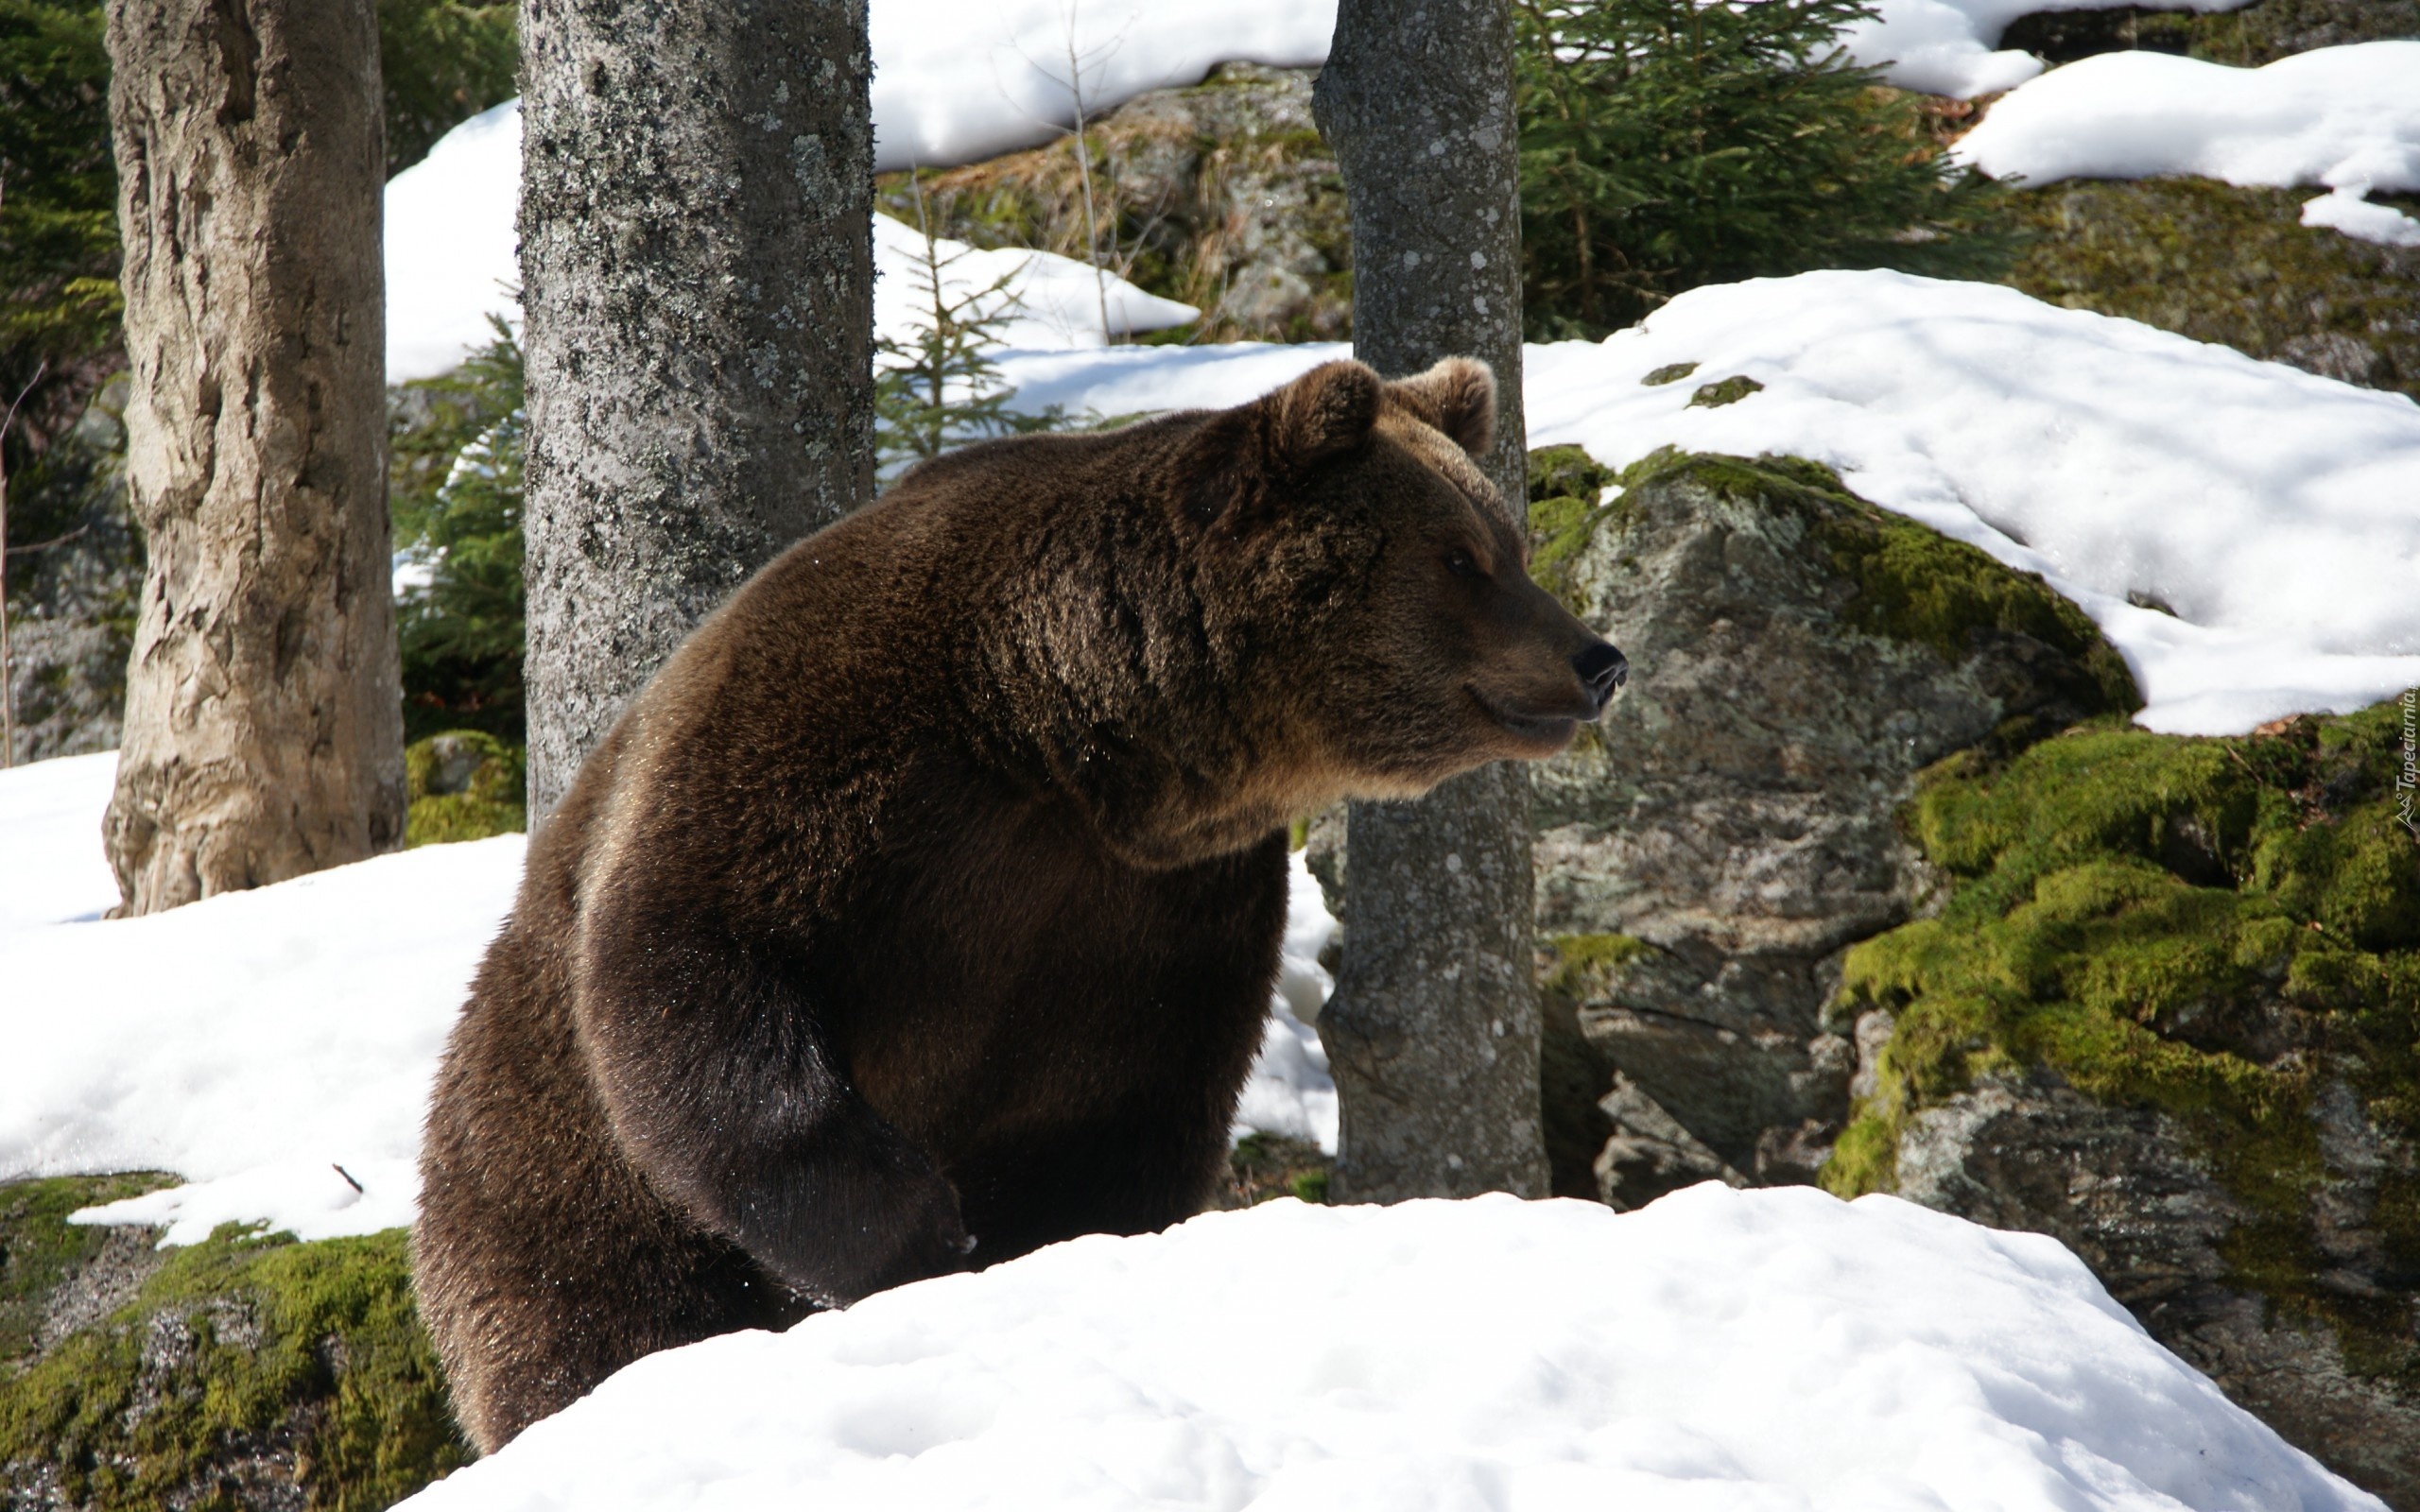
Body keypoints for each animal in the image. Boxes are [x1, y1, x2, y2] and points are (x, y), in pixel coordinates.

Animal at [411, 355, 1626, 1452]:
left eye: (1508, 544)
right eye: (1461, 556)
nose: (1597, 657)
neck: (1060, 729)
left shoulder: (1151, 909)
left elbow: (1121, 1111)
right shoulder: (827, 752)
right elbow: (694, 966)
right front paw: (914, 1226)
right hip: (544, 1182)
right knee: (588, 1319)